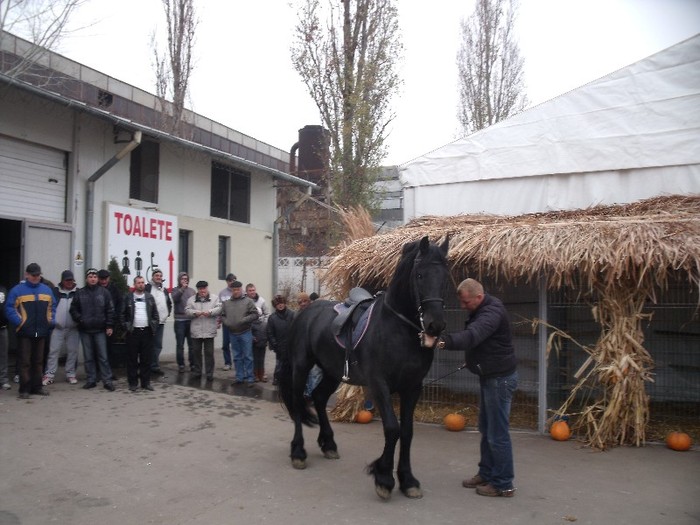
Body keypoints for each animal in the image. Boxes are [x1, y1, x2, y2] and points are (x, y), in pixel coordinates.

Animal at [278, 236, 448, 500]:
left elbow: (407, 431)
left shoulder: (413, 387)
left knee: (318, 398)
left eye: (445, 276)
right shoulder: (379, 384)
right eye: (420, 274)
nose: (435, 325)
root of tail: (304, 312)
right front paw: (384, 478)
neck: (398, 329)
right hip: (301, 366)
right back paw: (298, 452)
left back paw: (329, 444)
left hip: (332, 372)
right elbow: (392, 428)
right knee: (298, 403)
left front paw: (408, 480)